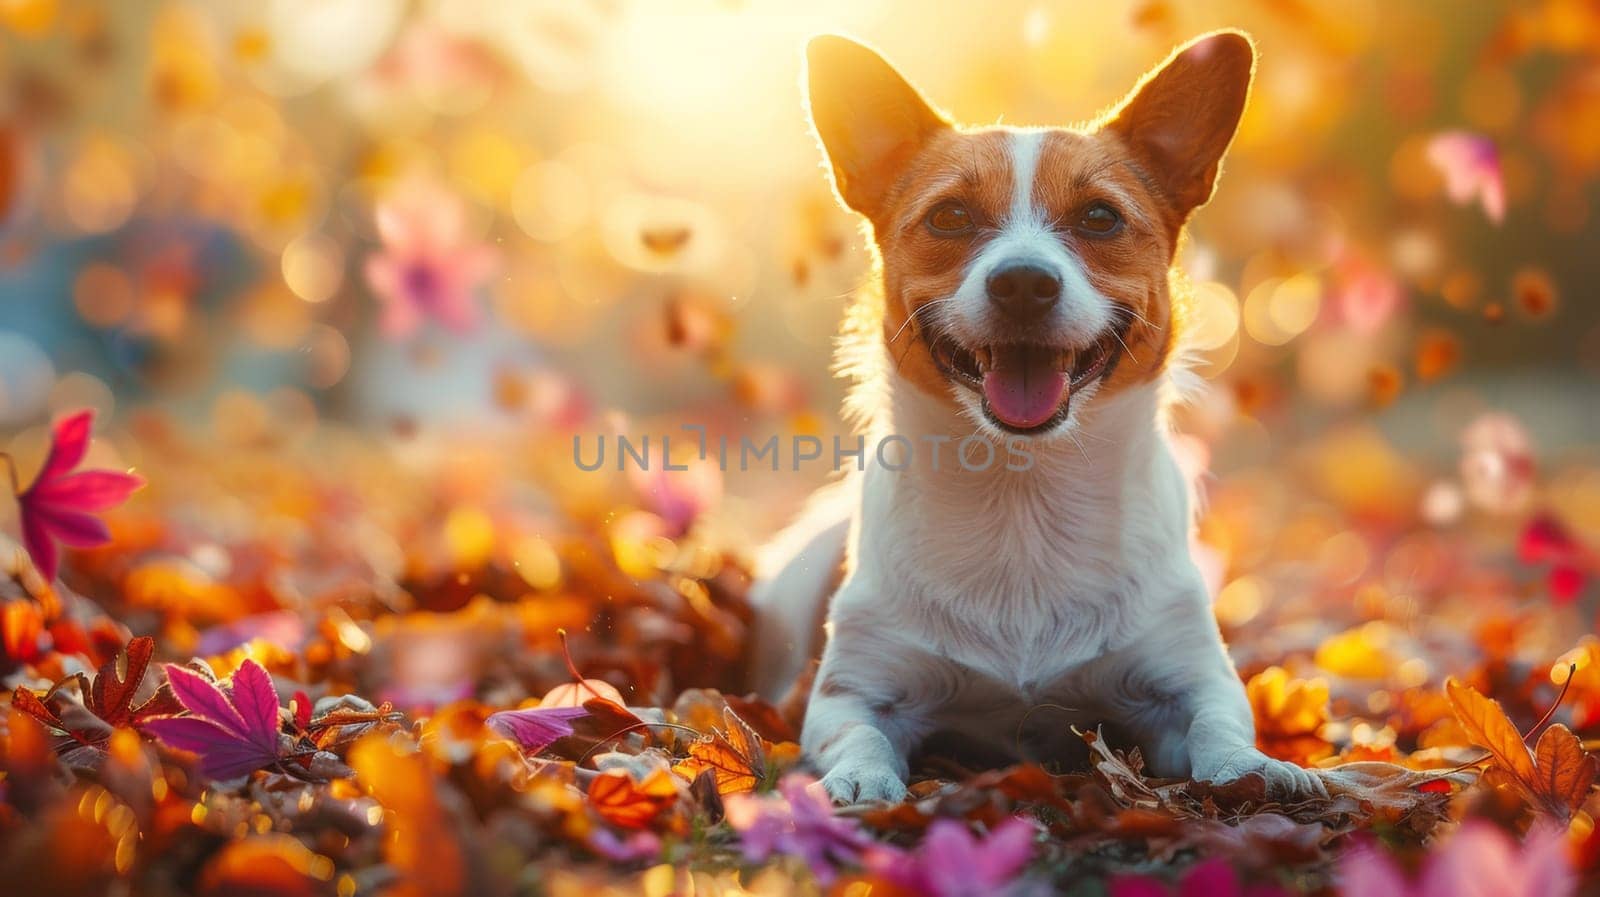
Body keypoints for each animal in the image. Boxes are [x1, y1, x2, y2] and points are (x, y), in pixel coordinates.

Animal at [748, 29, 1324, 805]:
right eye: (950, 216)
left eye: (1100, 218)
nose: (1023, 281)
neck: (1024, 494)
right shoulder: (855, 692)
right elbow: (857, 733)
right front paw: (860, 778)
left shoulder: (1189, 681)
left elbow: (1218, 723)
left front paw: (1255, 765)